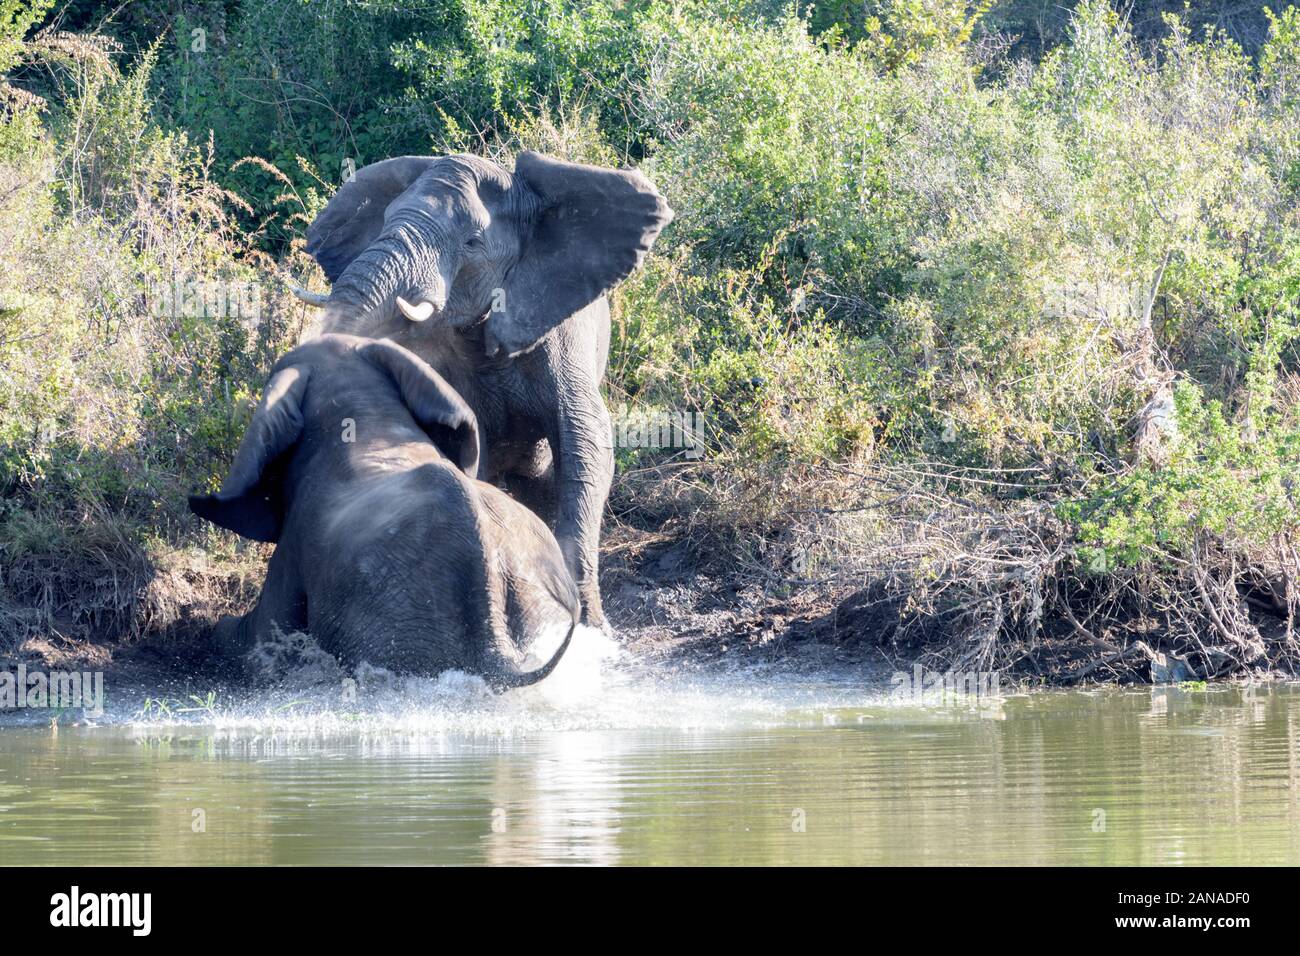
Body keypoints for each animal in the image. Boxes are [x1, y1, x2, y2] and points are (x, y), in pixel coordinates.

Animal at [188, 332, 579, 686]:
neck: (363, 412)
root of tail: (497, 648)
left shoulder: (295, 545)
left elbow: (264, 638)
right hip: (533, 602)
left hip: (396, 617)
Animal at [291, 149, 676, 632]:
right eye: (383, 222)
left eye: (473, 243)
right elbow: (470, 450)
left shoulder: (561, 327)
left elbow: (586, 445)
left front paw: (587, 628)